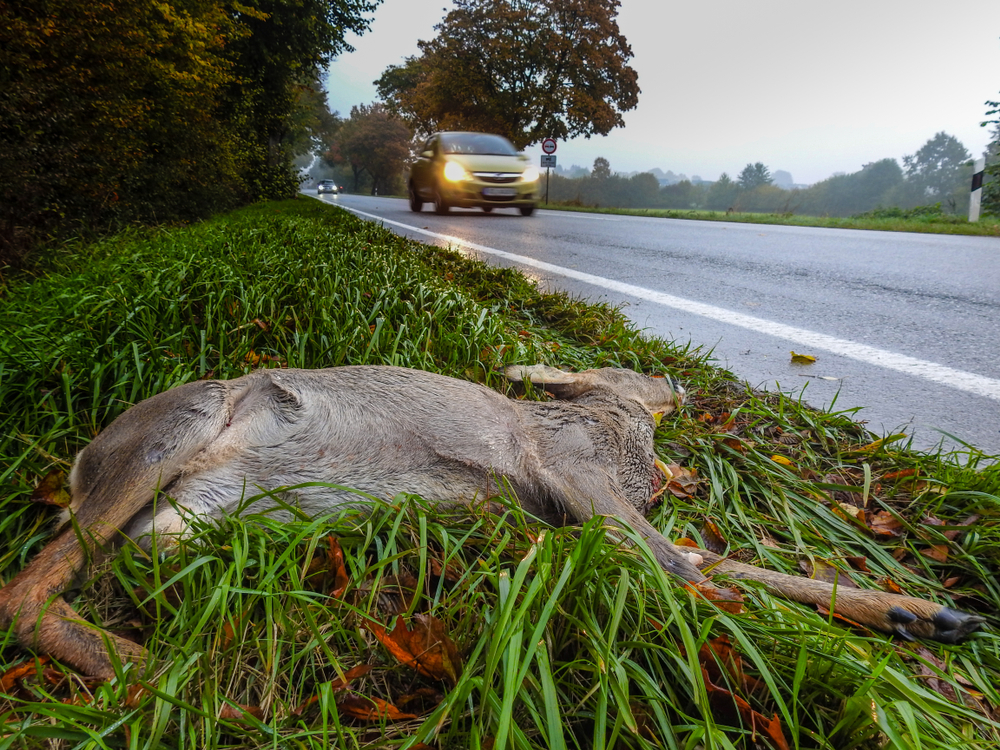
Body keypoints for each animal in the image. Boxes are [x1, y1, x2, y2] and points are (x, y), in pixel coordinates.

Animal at [0, 366, 984, 680]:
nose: (662, 396)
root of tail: (81, 457)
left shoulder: (568, 504)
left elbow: (702, 557)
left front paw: (922, 613)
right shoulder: (571, 467)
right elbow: (682, 565)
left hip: (182, 517)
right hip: (177, 428)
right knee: (24, 592)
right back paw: (174, 683)